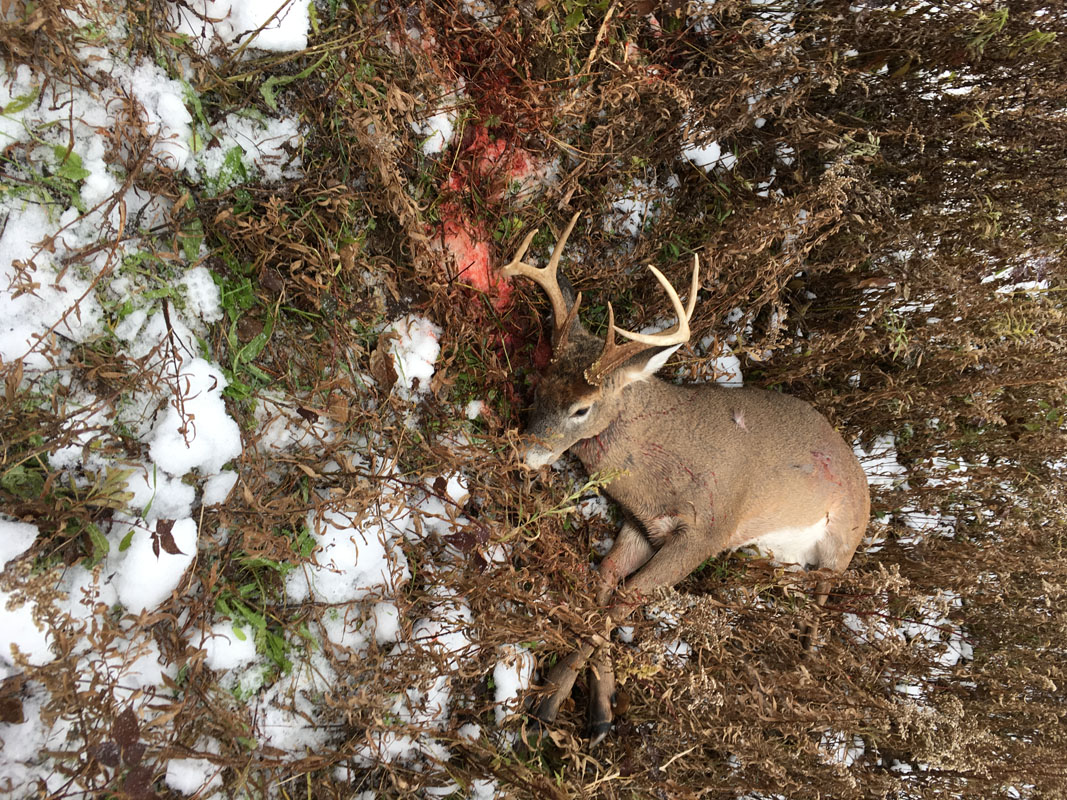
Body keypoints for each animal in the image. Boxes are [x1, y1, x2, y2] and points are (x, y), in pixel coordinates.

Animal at [501, 211, 866, 746]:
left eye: (582, 408)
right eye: (538, 384)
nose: (523, 453)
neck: (660, 469)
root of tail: (862, 477)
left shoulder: (707, 533)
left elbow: (626, 598)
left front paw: (547, 708)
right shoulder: (641, 523)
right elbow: (606, 583)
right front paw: (597, 710)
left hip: (842, 544)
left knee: (822, 604)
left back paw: (806, 662)